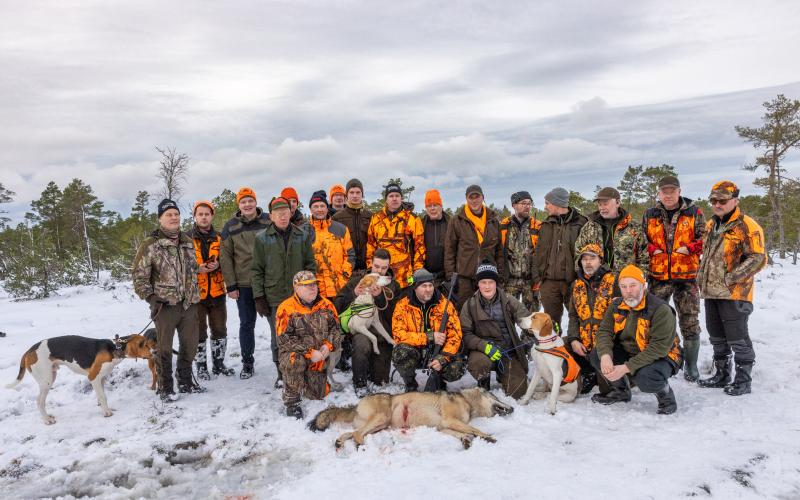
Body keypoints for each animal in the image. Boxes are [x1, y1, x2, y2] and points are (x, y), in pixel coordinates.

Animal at [7, 334, 157, 424]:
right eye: (142, 344)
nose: (155, 352)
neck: (115, 348)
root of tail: (29, 350)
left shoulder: (101, 378)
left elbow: (102, 395)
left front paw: (103, 407)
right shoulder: (93, 377)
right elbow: (103, 396)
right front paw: (106, 412)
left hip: (51, 376)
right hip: (46, 381)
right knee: (39, 401)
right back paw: (47, 420)